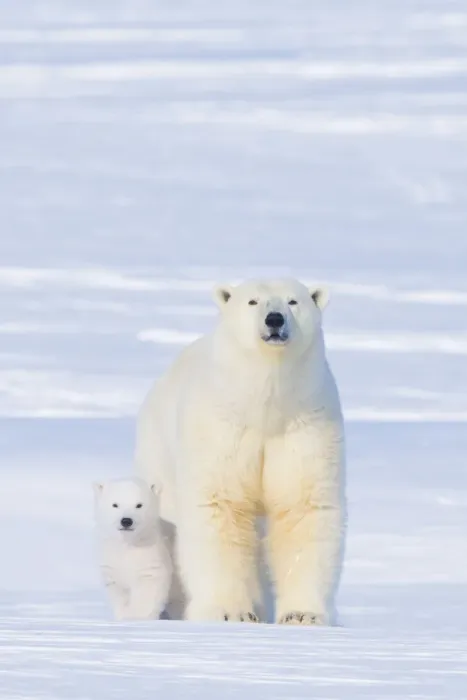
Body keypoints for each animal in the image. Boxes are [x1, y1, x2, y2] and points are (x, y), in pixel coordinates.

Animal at [93, 477, 172, 621]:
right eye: (115, 504)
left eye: (139, 505)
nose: (126, 521)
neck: (129, 543)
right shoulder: (111, 561)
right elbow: (118, 589)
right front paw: (124, 615)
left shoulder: (151, 558)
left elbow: (148, 590)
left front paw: (136, 617)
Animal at [134, 278, 346, 625]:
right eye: (252, 301)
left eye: (293, 301)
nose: (274, 319)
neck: (265, 406)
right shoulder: (221, 428)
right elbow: (220, 507)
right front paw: (230, 612)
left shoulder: (305, 425)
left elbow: (303, 507)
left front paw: (303, 615)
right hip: (159, 452)